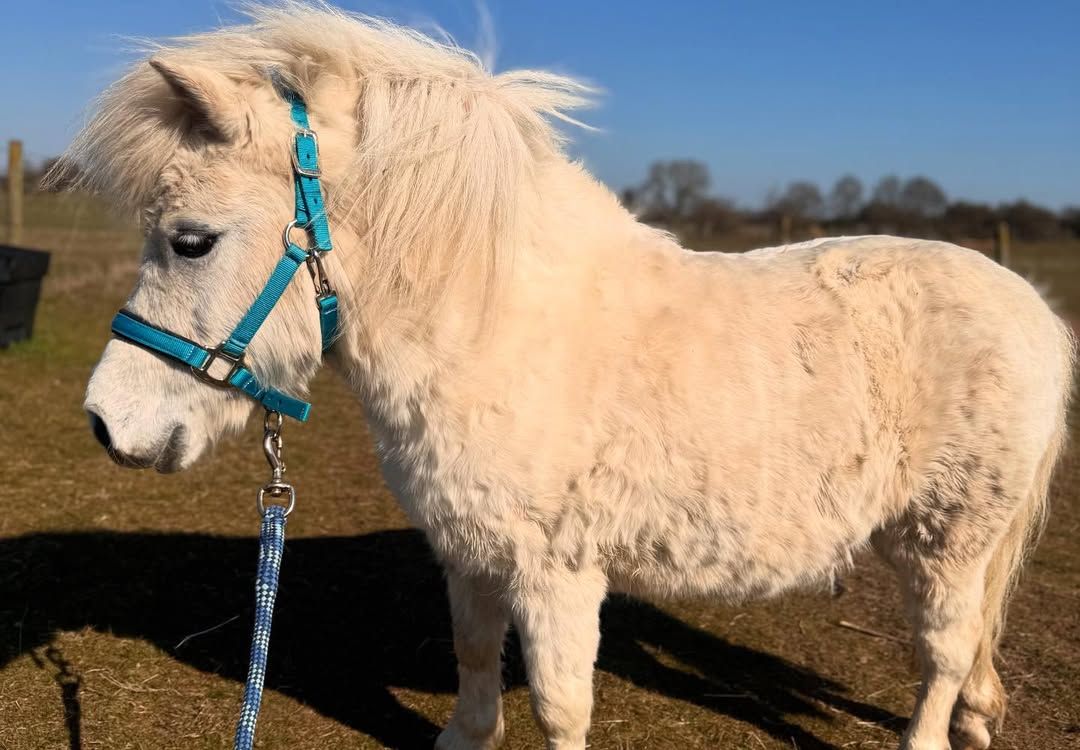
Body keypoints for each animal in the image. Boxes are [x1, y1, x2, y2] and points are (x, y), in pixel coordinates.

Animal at [58, 4, 1073, 749]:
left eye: (192, 240)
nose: (107, 423)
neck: (497, 329)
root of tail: (1030, 306)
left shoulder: (558, 571)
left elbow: (557, 705)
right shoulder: (469, 549)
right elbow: (473, 661)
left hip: (950, 537)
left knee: (945, 656)